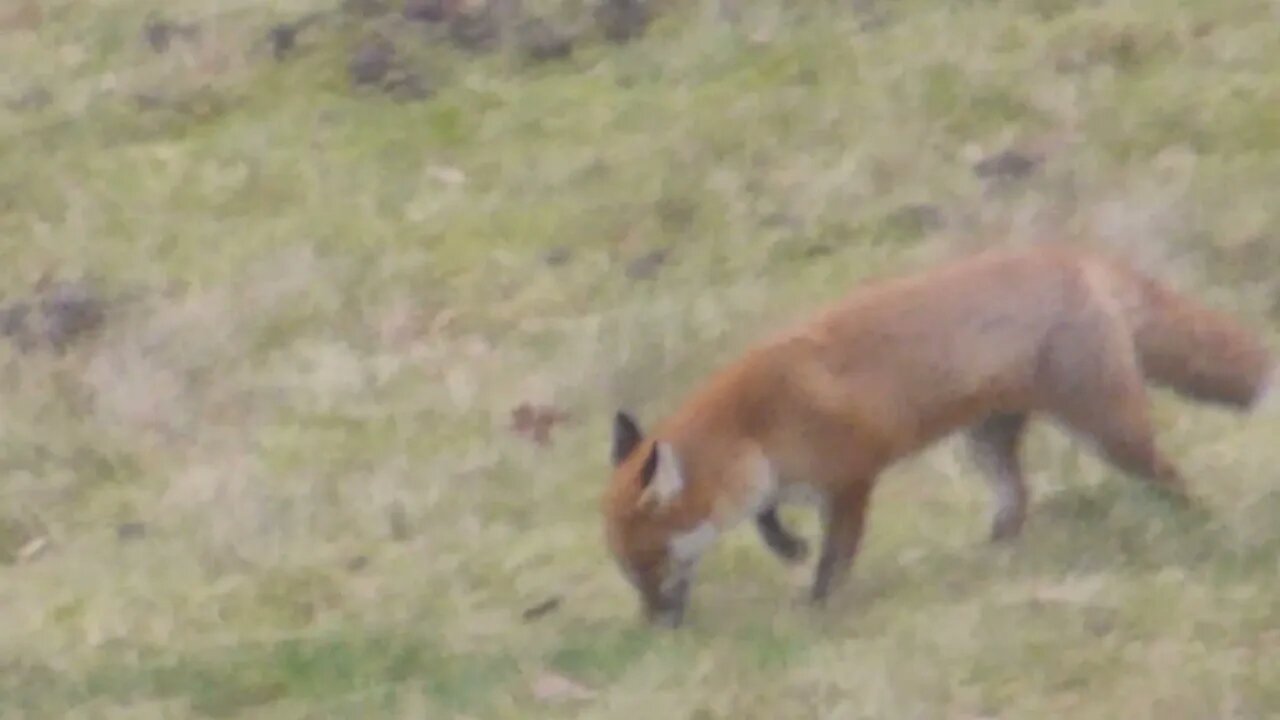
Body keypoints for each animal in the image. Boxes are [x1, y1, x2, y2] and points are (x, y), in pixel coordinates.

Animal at [602, 243, 1278, 628]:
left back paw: (1200, 526)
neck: (756, 427)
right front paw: (787, 547)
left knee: (1169, 476)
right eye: (628, 572)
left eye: (650, 565)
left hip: (1109, 431)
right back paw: (990, 556)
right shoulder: (777, 480)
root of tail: (1072, 255)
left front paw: (816, 608)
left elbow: (835, 558)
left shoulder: (851, 479)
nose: (655, 626)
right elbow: (768, 519)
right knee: (1017, 502)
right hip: (985, 445)